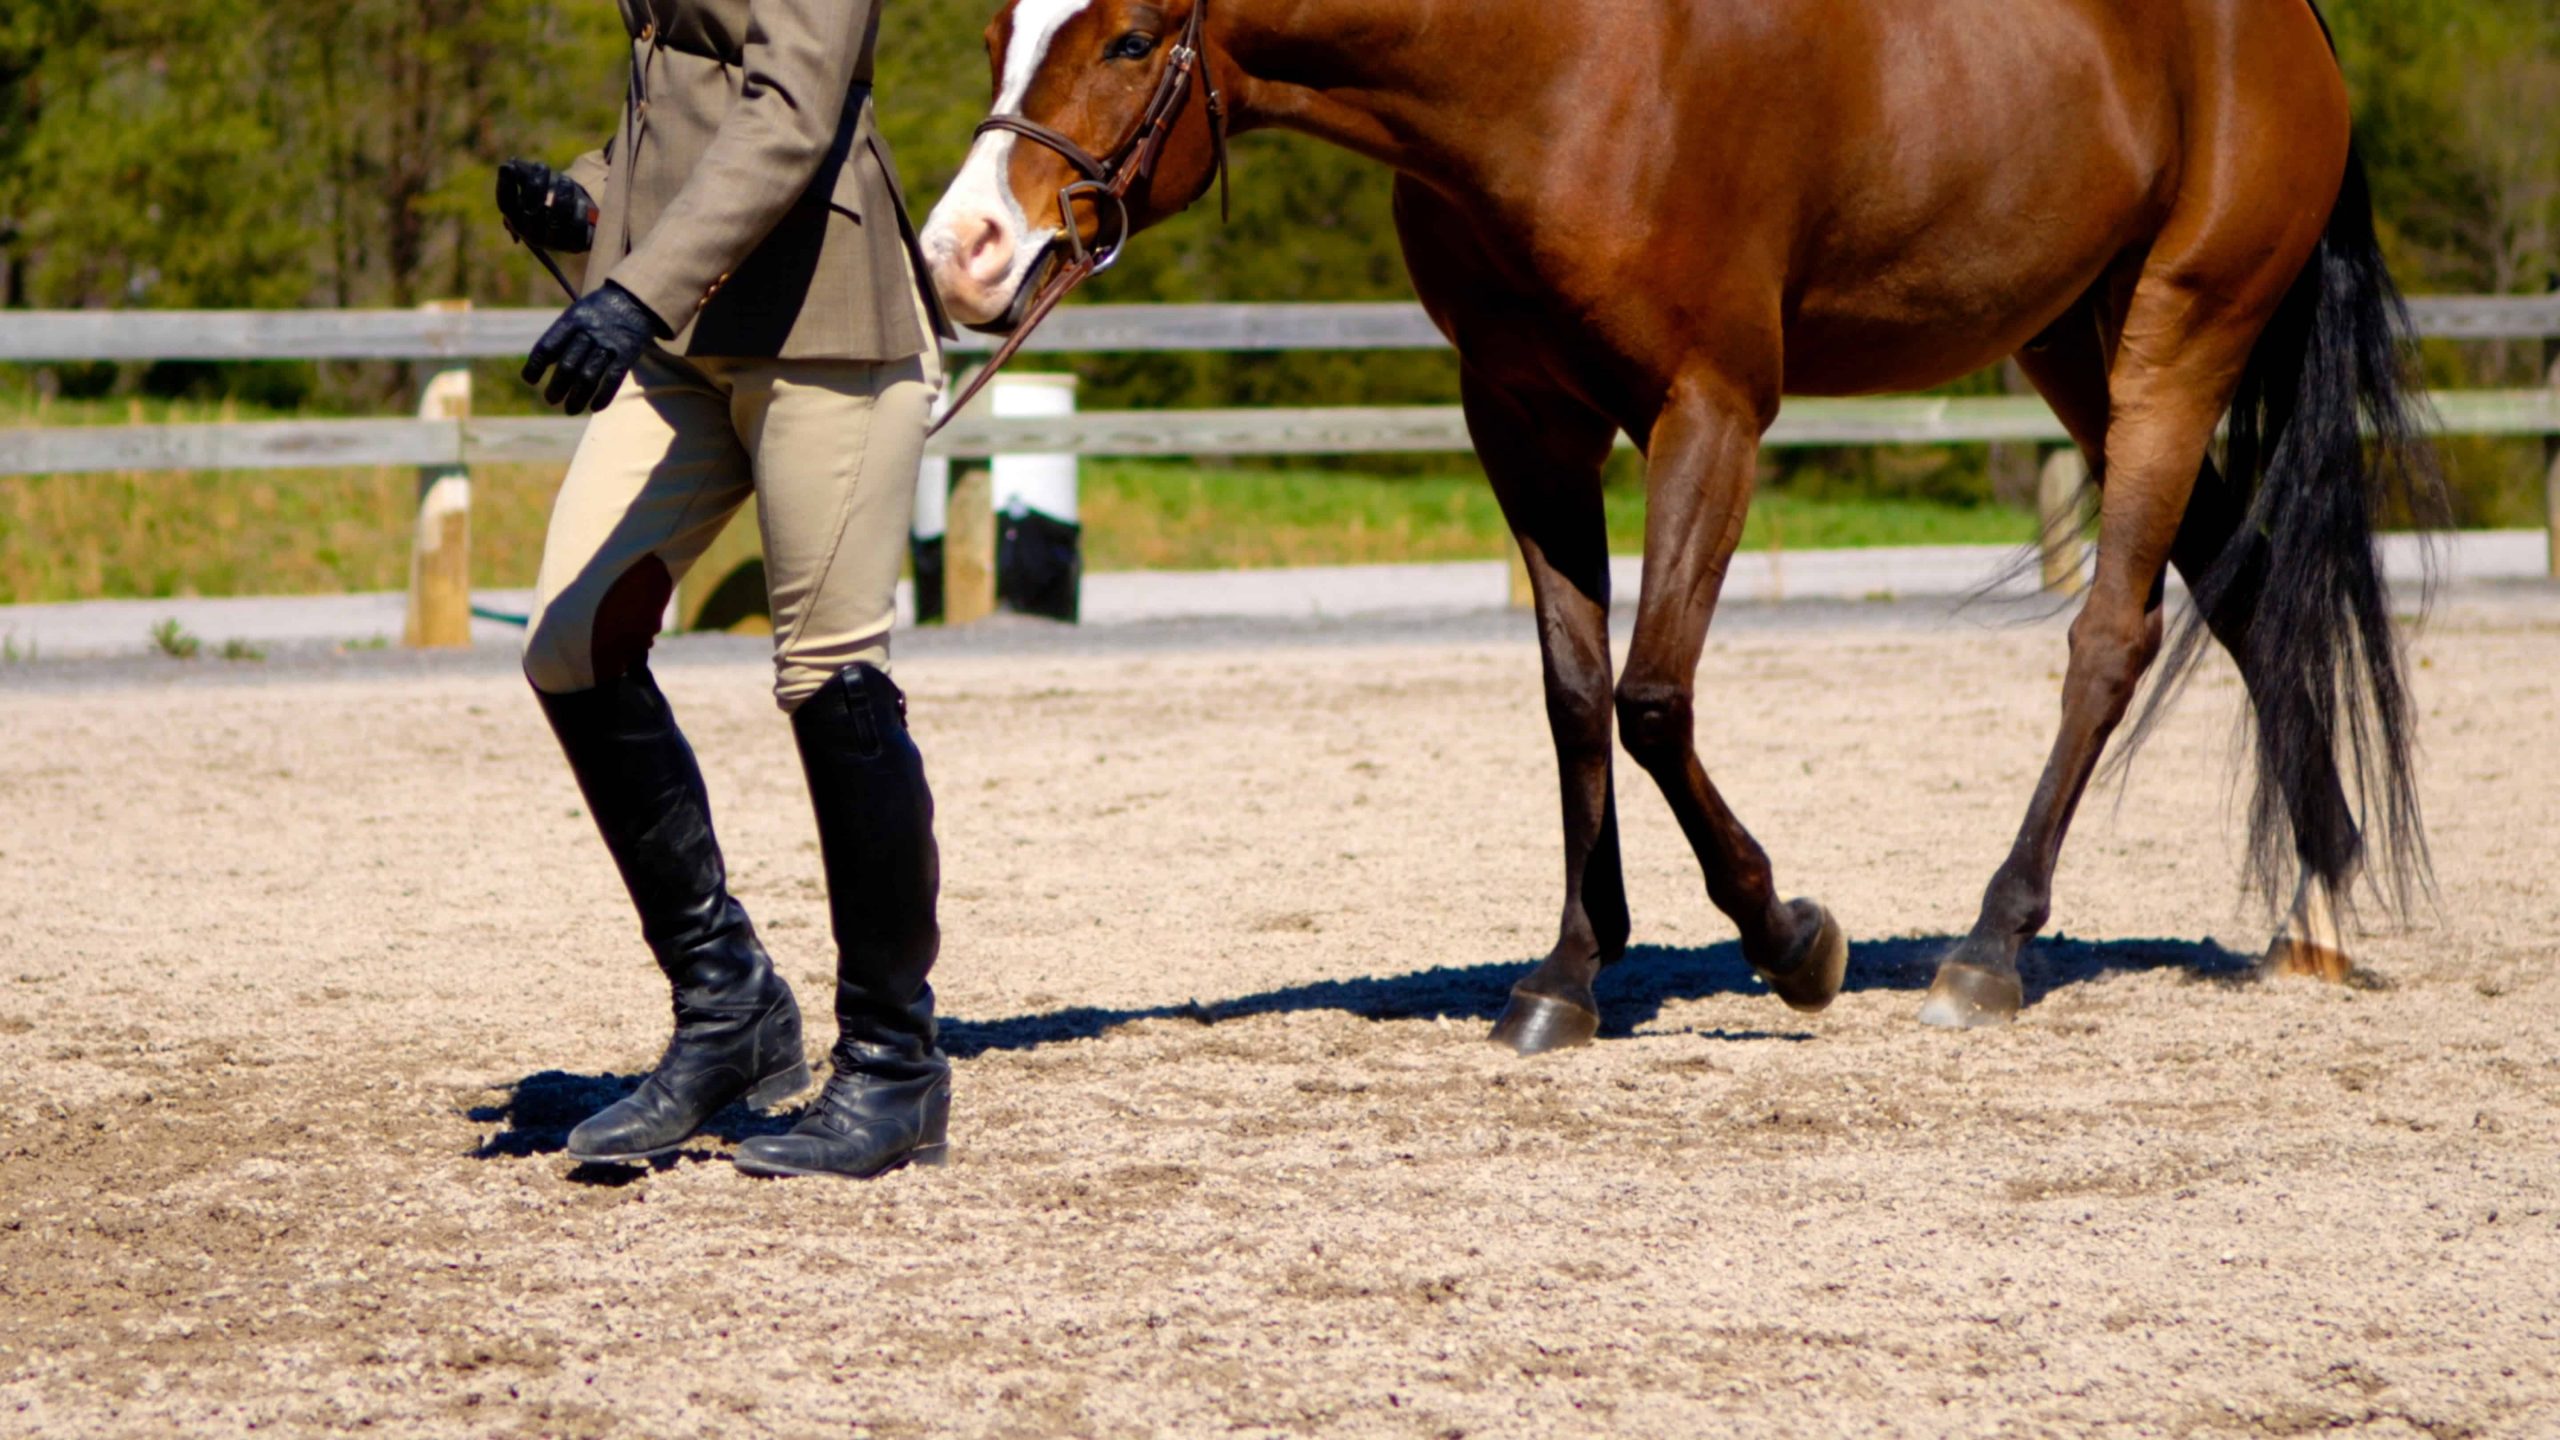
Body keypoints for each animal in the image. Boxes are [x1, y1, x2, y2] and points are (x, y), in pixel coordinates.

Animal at [911, 0, 2426, 1050]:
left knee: (2114, 632)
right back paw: (2314, 907)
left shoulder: (1711, 412)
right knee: (2246, 595)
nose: (960, 256)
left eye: (1131, 38)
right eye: (992, 32)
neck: (1563, 64)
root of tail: (2290, 26)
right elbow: (1575, 692)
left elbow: (1651, 698)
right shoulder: (1524, 419)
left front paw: (1792, 940)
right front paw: (1568, 976)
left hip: (2181, 333)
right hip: (2073, 342)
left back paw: (1989, 951)